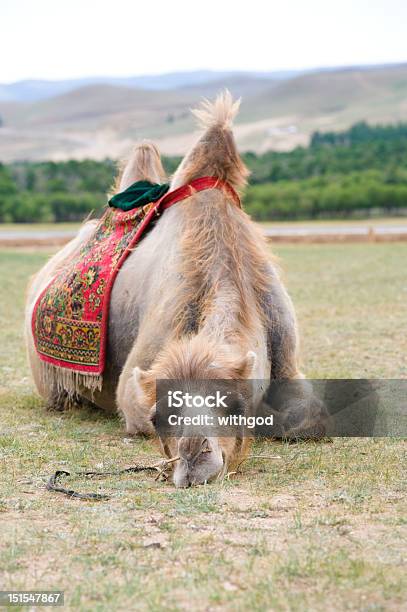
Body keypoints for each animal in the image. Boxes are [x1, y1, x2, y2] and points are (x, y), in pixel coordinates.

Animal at [25, 91, 308, 488]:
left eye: (235, 407)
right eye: (159, 417)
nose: (193, 459)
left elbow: (302, 415)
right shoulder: (137, 379)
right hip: (48, 378)